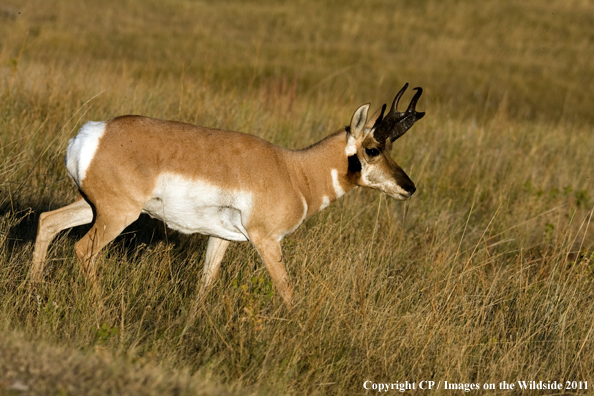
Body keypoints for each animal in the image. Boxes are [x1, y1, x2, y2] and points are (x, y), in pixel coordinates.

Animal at [32, 83, 424, 306]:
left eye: (390, 148)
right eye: (373, 149)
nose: (409, 187)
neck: (293, 170)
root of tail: (94, 132)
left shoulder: (221, 238)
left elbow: (205, 285)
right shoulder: (266, 240)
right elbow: (287, 291)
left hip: (93, 206)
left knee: (48, 221)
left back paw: (32, 289)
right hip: (117, 215)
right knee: (83, 250)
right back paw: (98, 309)